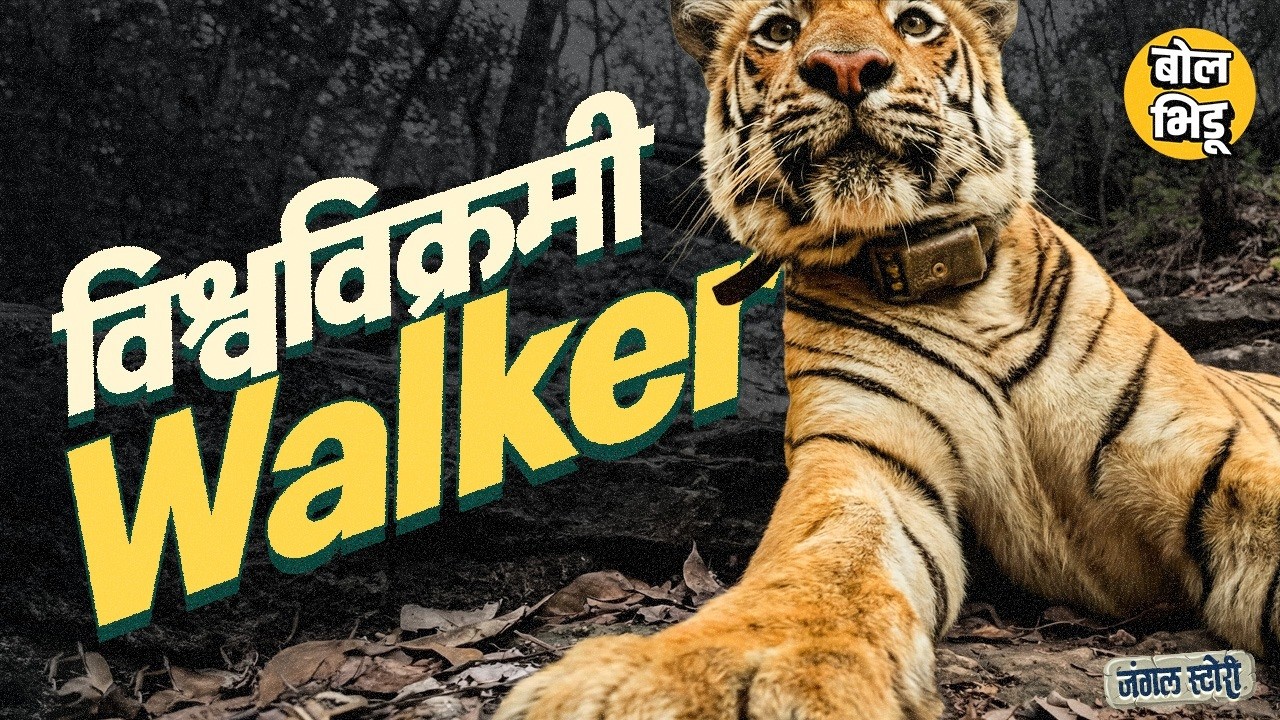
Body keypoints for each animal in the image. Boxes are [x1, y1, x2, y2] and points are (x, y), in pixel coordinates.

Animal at [494, 0, 1280, 718]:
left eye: (915, 21)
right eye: (779, 29)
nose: (846, 68)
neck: (956, 291)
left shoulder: (1204, 450)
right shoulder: (867, 459)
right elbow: (823, 561)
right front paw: (699, 679)